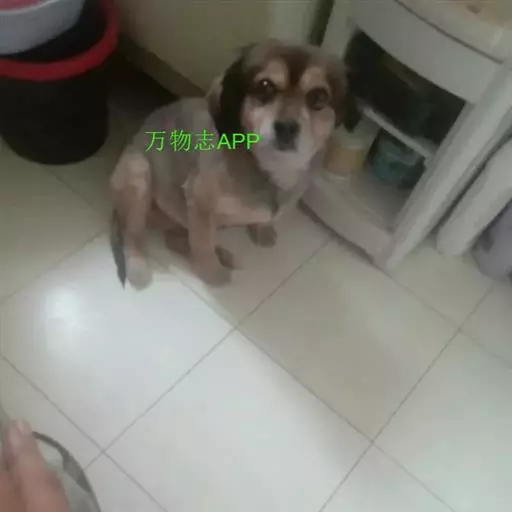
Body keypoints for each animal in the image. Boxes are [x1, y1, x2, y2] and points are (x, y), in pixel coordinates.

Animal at [110, 39, 359, 287]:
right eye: (265, 86)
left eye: (319, 97)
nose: (286, 127)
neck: (270, 166)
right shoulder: (200, 202)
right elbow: (202, 244)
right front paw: (211, 273)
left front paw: (262, 230)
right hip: (139, 175)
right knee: (133, 235)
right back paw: (139, 266)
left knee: (174, 239)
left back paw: (222, 254)